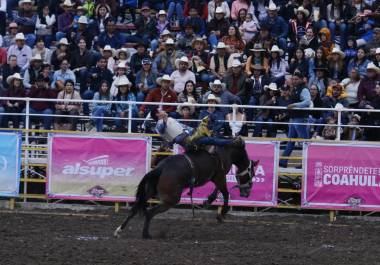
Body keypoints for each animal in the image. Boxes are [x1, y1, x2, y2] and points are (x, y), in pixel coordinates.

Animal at [113, 139, 255, 238]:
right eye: (252, 175)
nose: (247, 193)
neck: (226, 151)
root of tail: (159, 169)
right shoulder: (219, 176)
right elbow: (225, 193)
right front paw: (221, 214)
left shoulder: (217, 178)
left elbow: (218, 191)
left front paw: (208, 201)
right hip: (171, 199)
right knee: (150, 212)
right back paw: (146, 234)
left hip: (148, 192)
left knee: (134, 209)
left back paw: (119, 231)